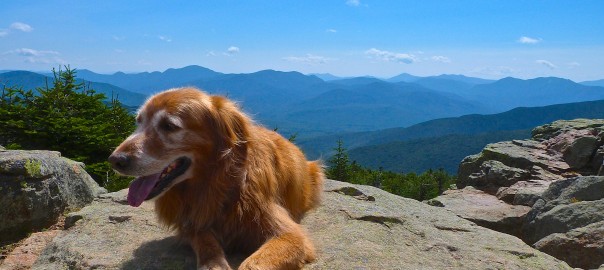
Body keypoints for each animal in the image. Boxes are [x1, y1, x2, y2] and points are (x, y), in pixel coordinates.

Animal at [108, 87, 326, 268]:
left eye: (169, 125)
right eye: (138, 121)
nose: (115, 160)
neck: (216, 183)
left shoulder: (291, 235)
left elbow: (254, 263)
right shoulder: (191, 221)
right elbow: (204, 239)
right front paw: (213, 263)